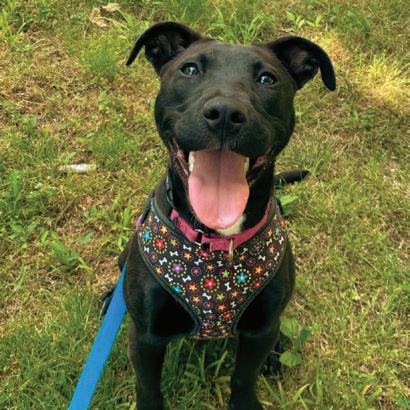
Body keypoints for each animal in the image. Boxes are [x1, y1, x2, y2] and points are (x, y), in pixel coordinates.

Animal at [119, 21, 335, 410]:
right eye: (190, 70)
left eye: (267, 79)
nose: (224, 113)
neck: (217, 241)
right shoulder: (144, 338)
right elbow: (149, 388)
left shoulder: (260, 331)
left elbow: (243, 377)